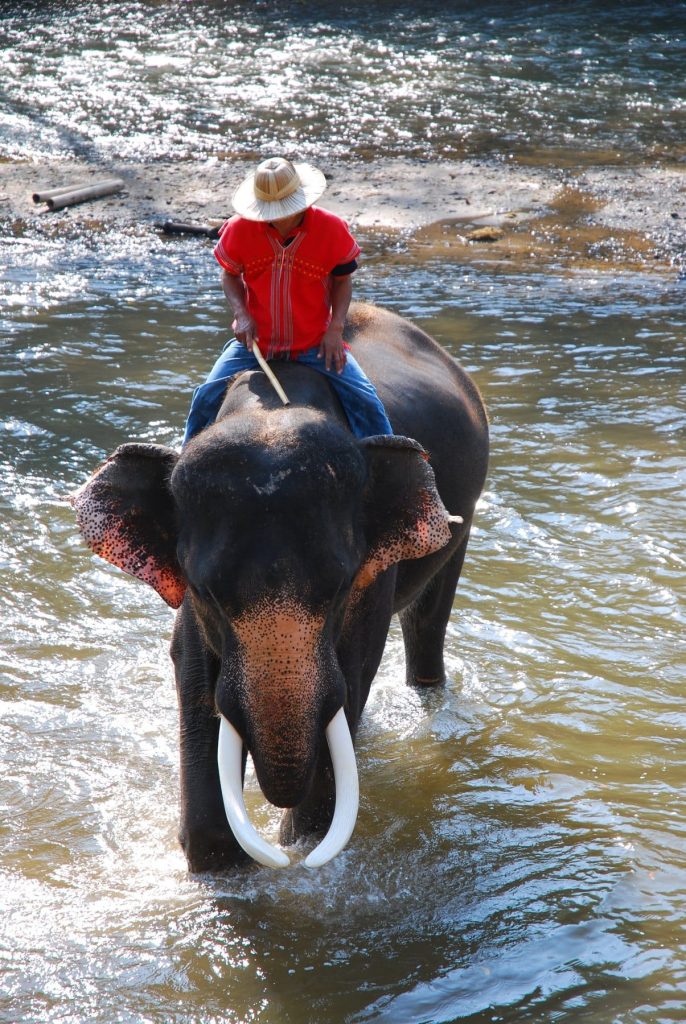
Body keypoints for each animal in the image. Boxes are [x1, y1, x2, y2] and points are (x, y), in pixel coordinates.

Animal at [72, 302, 489, 872]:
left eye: (340, 587)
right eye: (204, 590)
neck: (272, 408)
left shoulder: (371, 579)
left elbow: (354, 671)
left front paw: (301, 849)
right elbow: (191, 668)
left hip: (459, 524)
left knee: (427, 623)